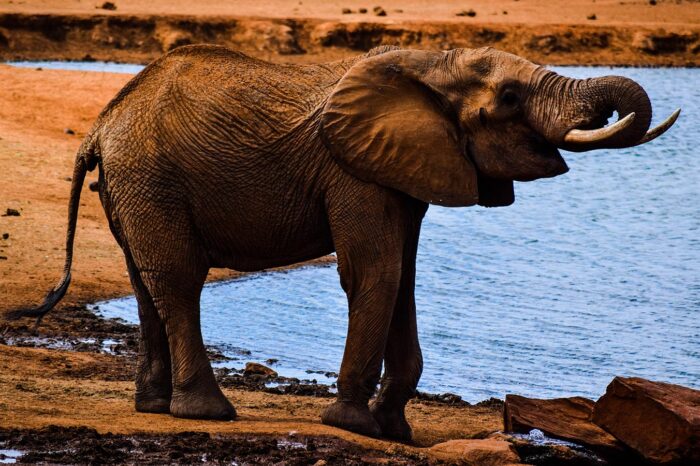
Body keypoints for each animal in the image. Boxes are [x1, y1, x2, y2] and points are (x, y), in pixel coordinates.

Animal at [8, 44, 679, 441]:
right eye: (510, 99)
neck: (428, 65)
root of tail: (99, 124)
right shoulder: (353, 171)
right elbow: (374, 272)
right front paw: (355, 425)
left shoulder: (404, 168)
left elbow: (404, 275)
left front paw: (393, 429)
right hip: (152, 177)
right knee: (178, 278)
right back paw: (207, 411)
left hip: (133, 184)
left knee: (144, 280)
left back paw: (153, 407)